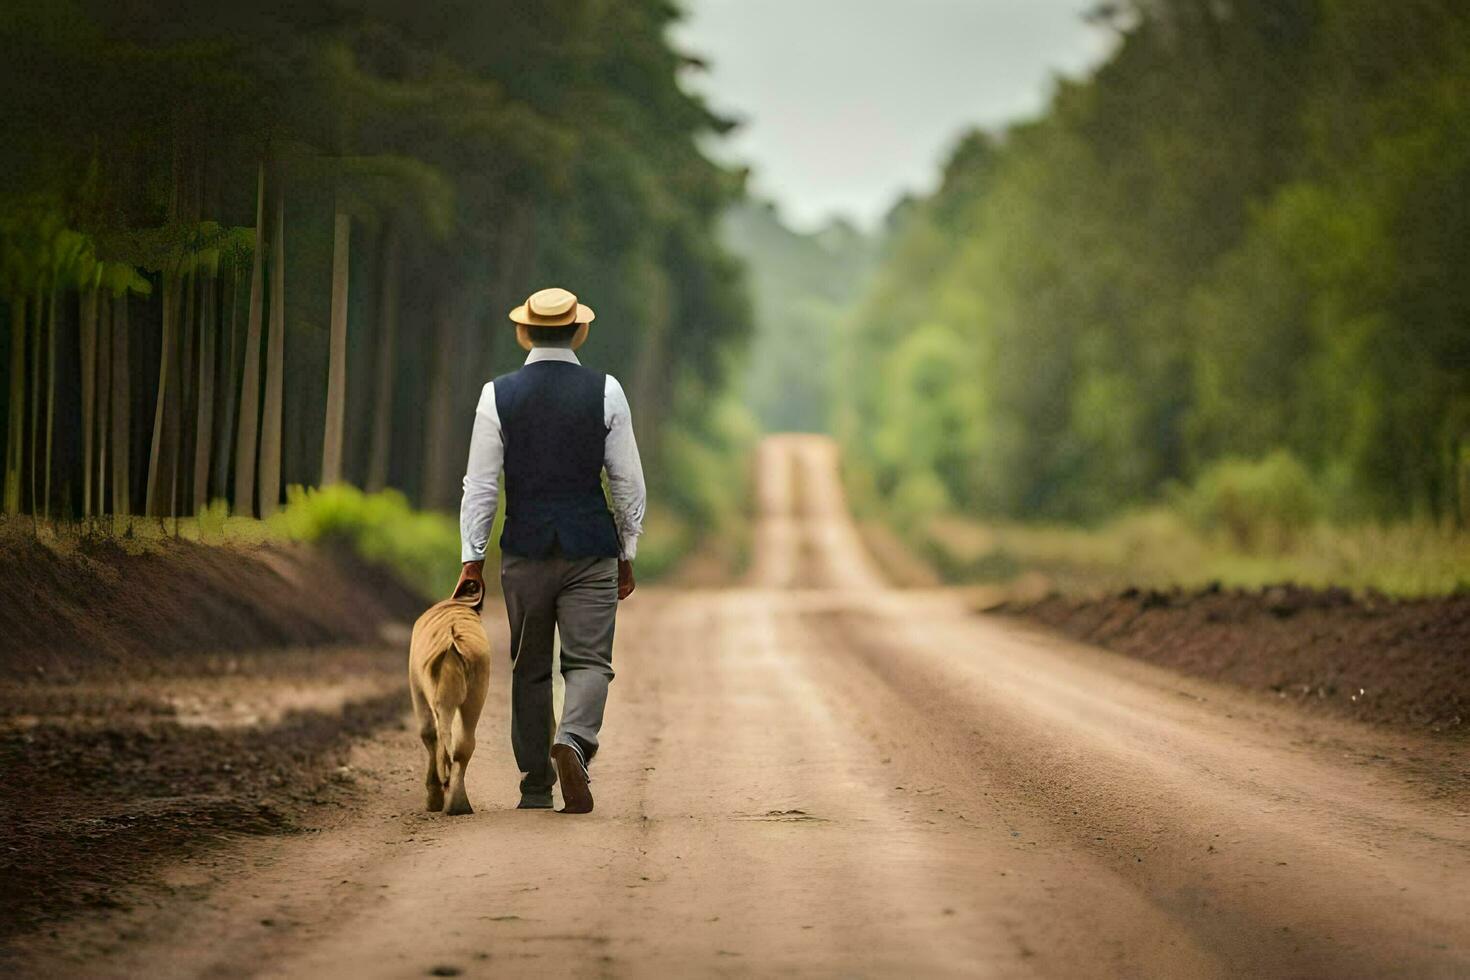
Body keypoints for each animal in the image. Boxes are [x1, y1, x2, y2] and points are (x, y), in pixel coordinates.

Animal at [411, 578, 490, 816]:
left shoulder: (417, 683)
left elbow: (428, 733)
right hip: (477, 686)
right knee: (465, 741)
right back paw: (458, 804)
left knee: (433, 732)